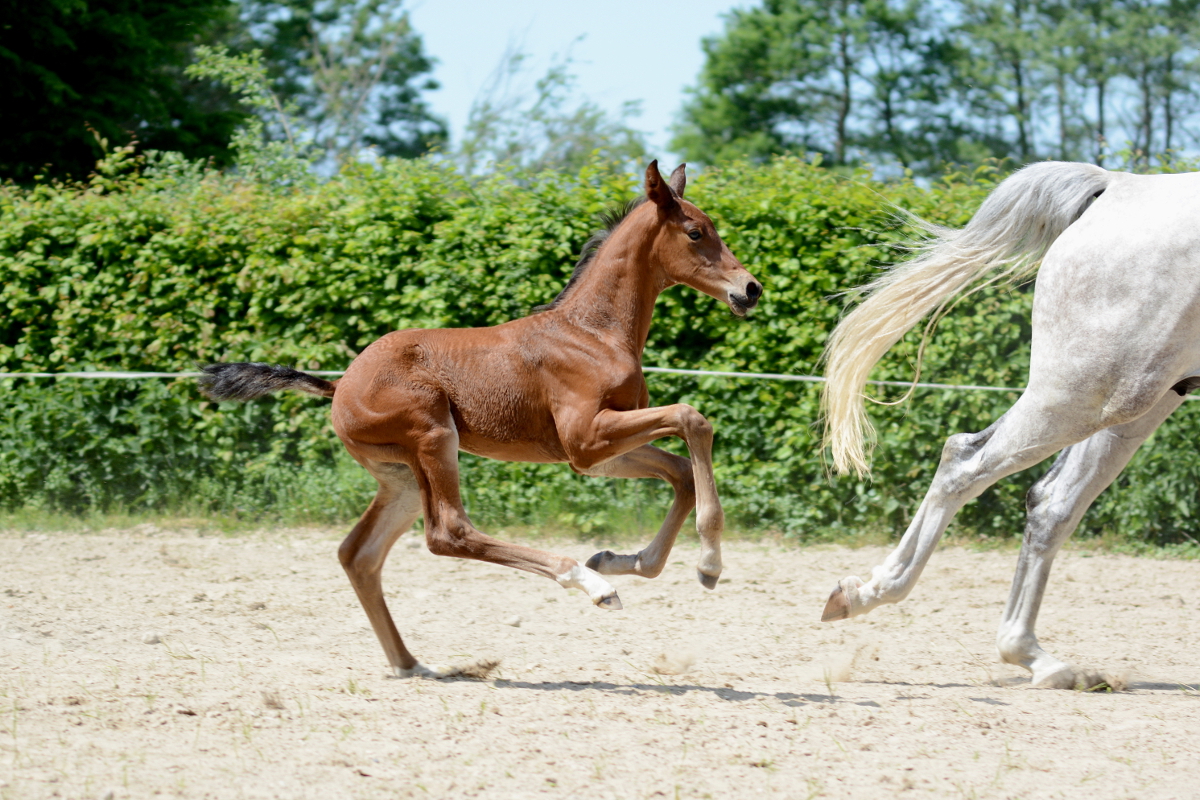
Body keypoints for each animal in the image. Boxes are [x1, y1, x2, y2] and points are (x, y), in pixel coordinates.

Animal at [199, 161, 762, 678]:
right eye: (696, 232)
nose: (751, 288)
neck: (593, 332)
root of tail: (341, 385)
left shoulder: (599, 453)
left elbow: (681, 472)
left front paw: (623, 560)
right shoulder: (585, 441)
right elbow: (693, 420)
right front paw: (706, 564)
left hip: (402, 478)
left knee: (359, 553)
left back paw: (413, 664)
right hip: (433, 437)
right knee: (448, 533)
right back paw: (592, 587)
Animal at [820, 160, 1200, 689]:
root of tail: (1120, 184)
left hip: (1136, 399)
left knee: (1051, 502)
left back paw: (1036, 658)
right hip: (1095, 393)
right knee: (967, 462)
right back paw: (876, 593)